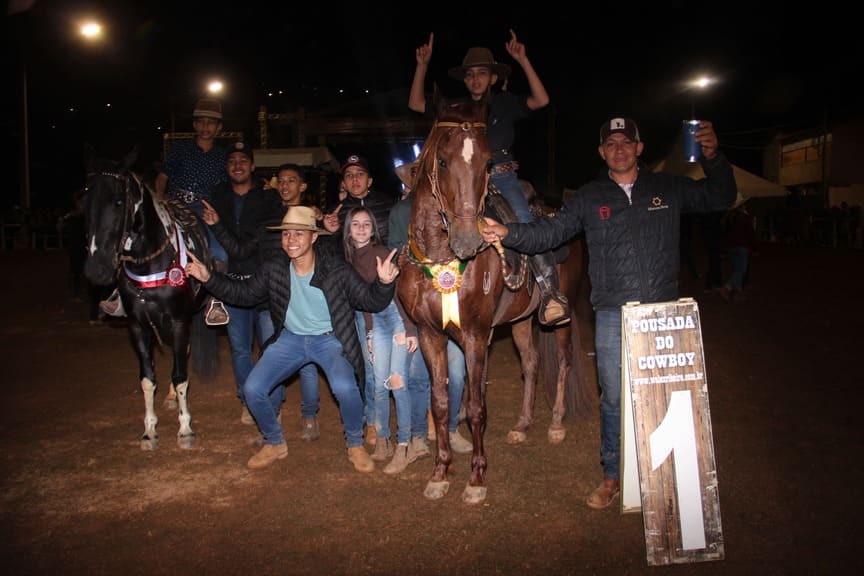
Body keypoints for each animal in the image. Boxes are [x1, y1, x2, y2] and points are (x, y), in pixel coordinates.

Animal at [82, 146, 220, 451]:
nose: (97, 270)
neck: (151, 262)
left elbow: (180, 376)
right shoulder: (137, 326)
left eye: (118, 201)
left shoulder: (179, 321)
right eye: (84, 201)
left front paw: (185, 430)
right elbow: (147, 379)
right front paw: (149, 431)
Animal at [397, 95, 591, 504]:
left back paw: (555, 424)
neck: (441, 256)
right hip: (520, 321)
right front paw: (440, 473)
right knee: (531, 363)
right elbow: (441, 403)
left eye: (487, 163)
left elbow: (474, 406)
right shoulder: (430, 335)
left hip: (562, 317)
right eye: (441, 161)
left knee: (563, 362)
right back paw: (522, 424)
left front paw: (476, 479)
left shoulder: (475, 335)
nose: (469, 239)